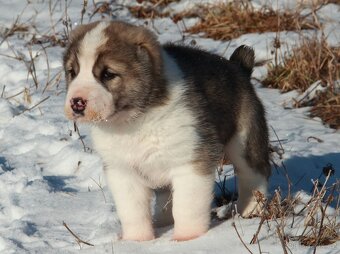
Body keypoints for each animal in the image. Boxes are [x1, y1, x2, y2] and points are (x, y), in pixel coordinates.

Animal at [63, 20, 270, 241]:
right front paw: (136, 241)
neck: (134, 121)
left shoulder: (190, 163)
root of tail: (238, 67)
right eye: (72, 72)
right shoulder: (122, 171)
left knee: (253, 176)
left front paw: (186, 239)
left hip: (245, 142)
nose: (77, 102)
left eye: (108, 74)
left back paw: (250, 211)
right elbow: (133, 211)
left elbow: (186, 207)